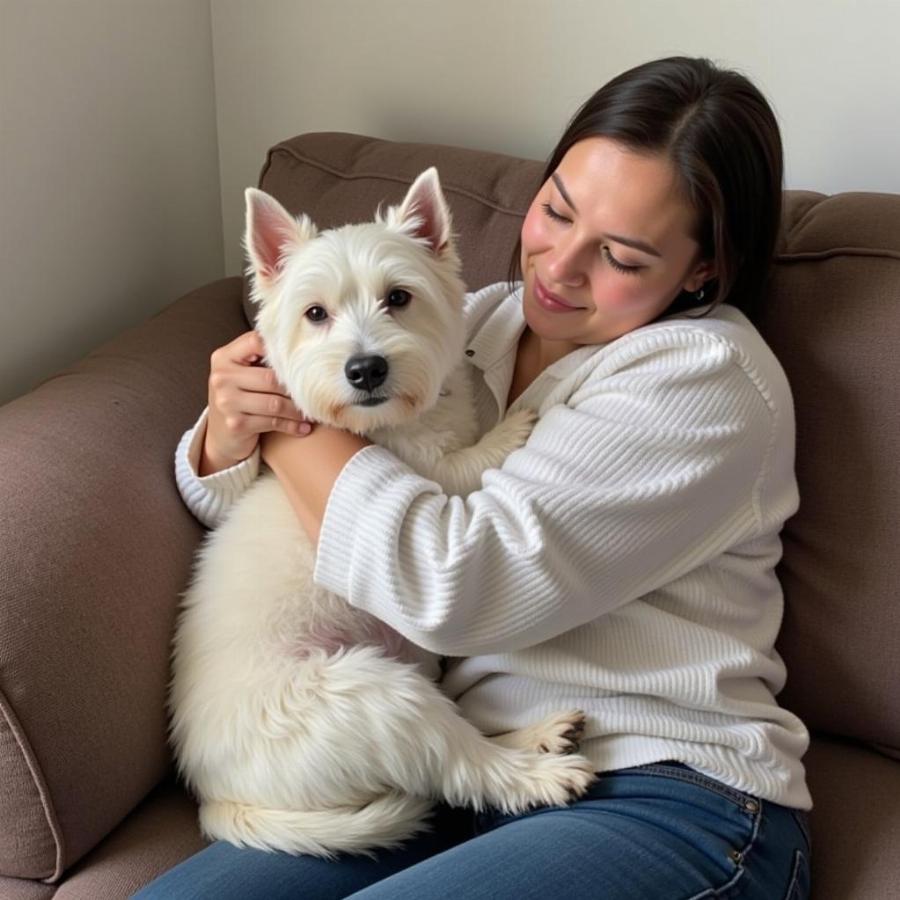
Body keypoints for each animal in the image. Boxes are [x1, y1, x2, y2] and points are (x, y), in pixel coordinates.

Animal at [169, 171, 596, 856]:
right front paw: (509, 430)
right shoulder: (421, 478)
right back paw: (537, 771)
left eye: (399, 297)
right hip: (369, 696)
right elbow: (462, 467)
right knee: (461, 761)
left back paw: (538, 736)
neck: (389, 421)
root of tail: (217, 796)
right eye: (315, 313)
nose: (365, 368)